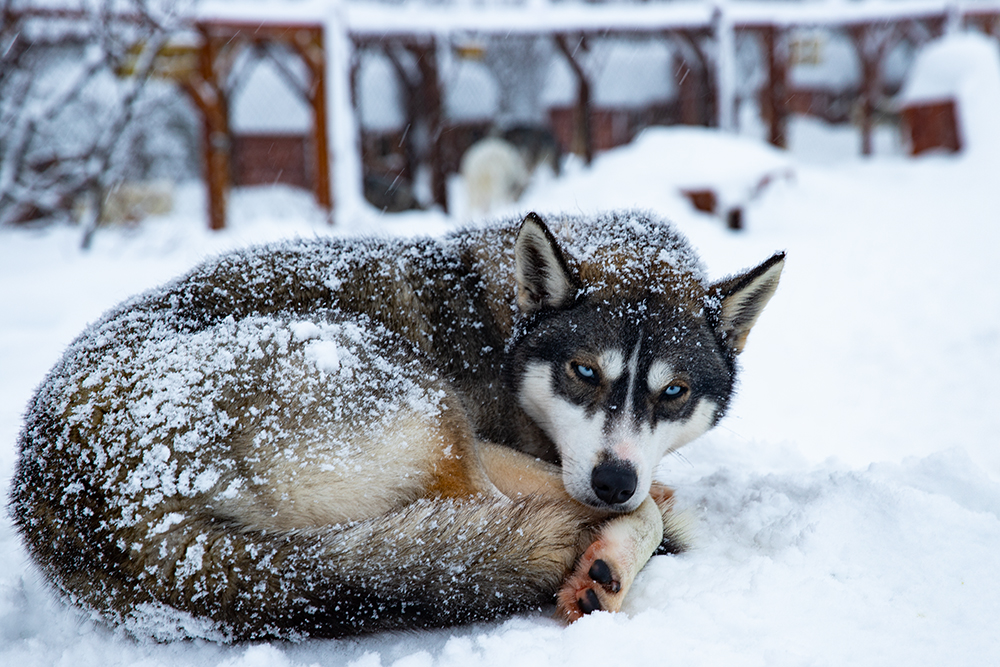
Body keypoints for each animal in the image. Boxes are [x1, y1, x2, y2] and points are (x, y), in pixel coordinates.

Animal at [11, 210, 784, 640]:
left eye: (673, 392)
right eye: (584, 372)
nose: (615, 477)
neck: (496, 323)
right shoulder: (497, 440)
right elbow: (642, 509)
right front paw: (631, 534)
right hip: (418, 398)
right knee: (500, 516)